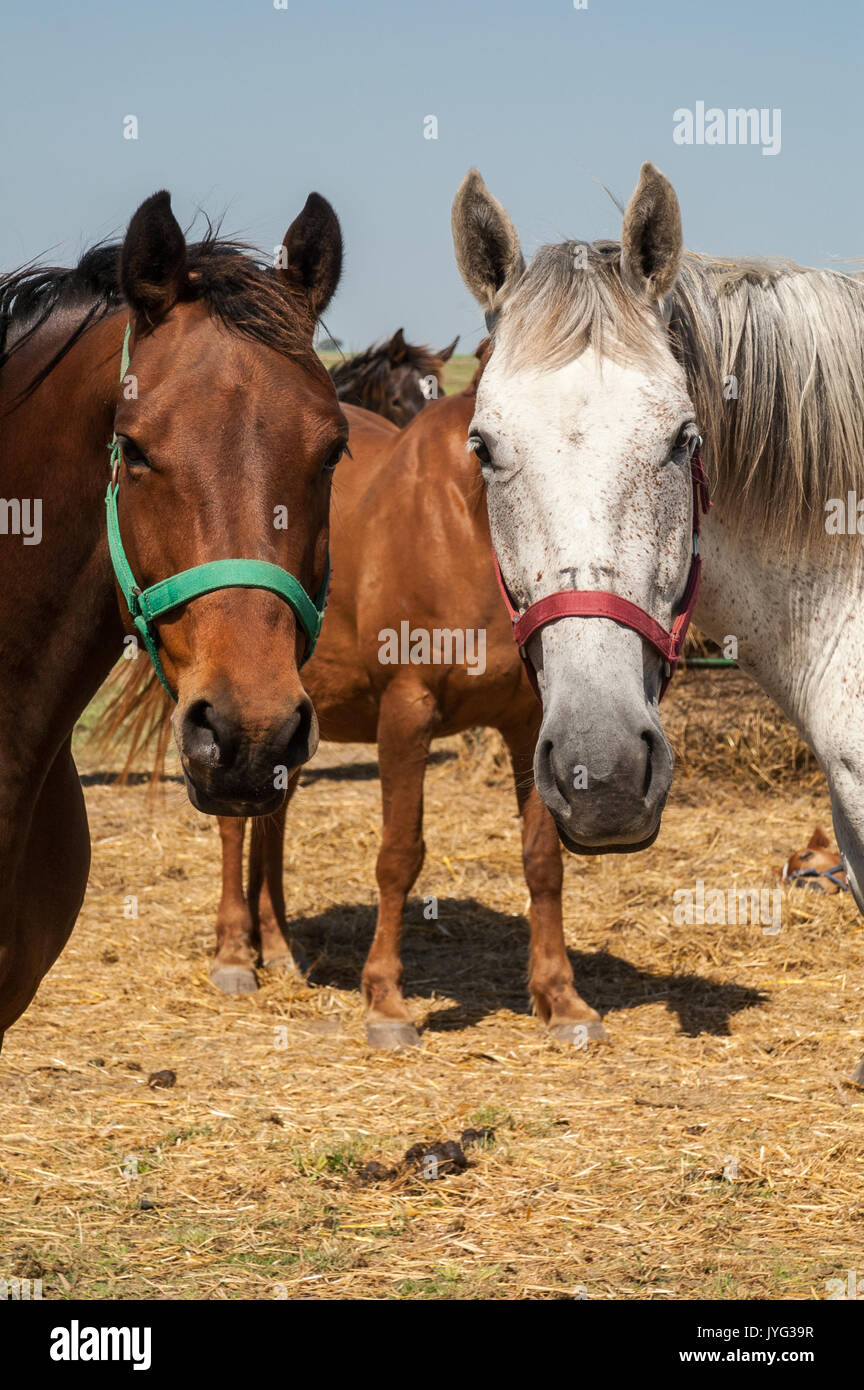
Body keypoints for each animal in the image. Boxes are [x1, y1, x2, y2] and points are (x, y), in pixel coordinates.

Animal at [99, 376, 603, 1049]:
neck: (461, 527)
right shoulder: (406, 715)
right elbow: (399, 857)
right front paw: (386, 1002)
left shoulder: (529, 723)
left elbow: (542, 860)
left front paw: (562, 1000)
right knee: (235, 827)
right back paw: (235, 954)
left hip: (278, 730)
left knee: (272, 820)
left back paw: (278, 948)